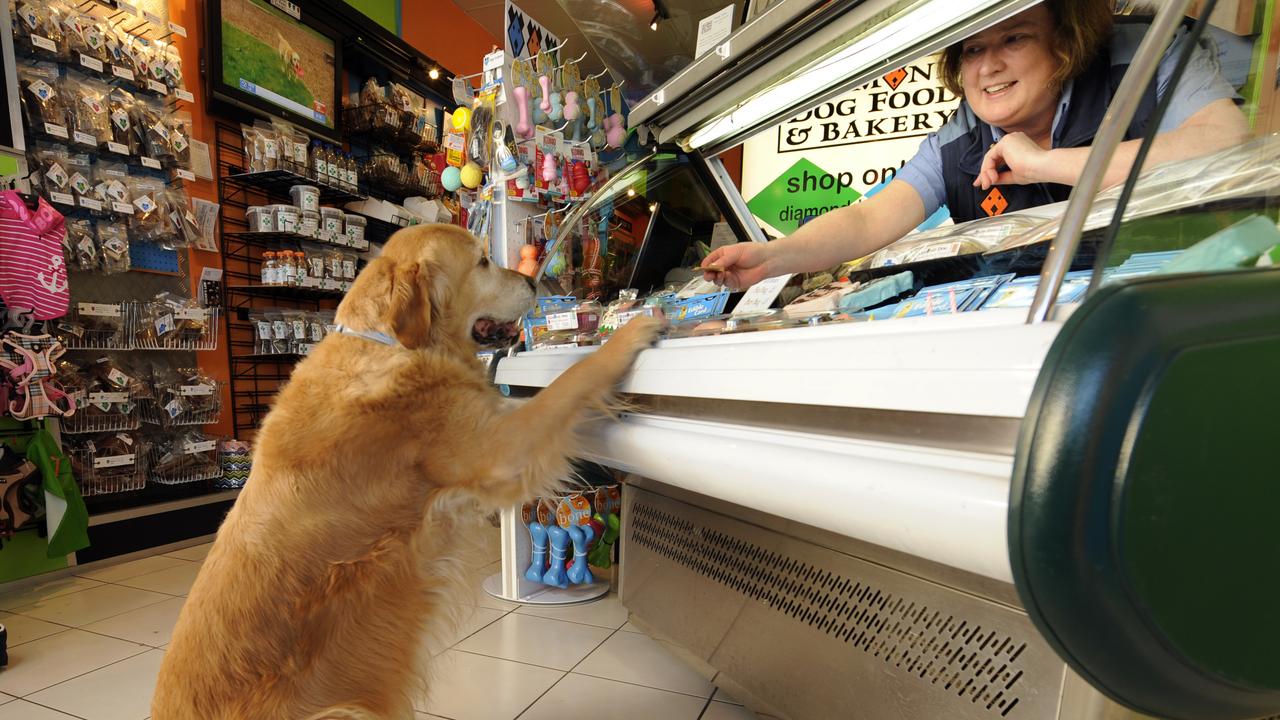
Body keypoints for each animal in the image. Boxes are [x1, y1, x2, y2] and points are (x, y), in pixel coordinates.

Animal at [152, 224, 660, 717]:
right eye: (482, 260)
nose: (534, 281)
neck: (395, 344)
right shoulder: (501, 448)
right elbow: (573, 380)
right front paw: (631, 331)